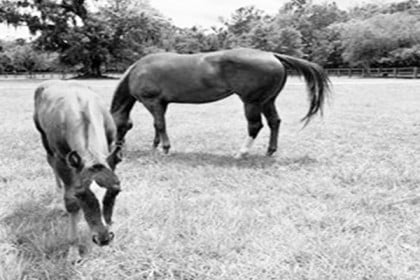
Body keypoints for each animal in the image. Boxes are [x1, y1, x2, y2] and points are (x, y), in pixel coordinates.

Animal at [33, 80, 122, 262]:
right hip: (44, 139)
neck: (82, 109)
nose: (103, 238)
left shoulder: (110, 152)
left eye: (116, 191)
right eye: (80, 194)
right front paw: (73, 249)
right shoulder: (62, 160)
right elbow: (71, 201)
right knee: (50, 162)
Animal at [109, 47, 332, 158]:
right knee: (274, 122)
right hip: (267, 101)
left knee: (255, 125)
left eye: (119, 128)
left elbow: (159, 124)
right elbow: (158, 126)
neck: (138, 71)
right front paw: (156, 147)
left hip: (251, 102)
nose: (117, 149)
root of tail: (272, 55)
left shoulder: (153, 102)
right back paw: (270, 151)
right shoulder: (161, 104)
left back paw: (241, 153)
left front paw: (164, 149)